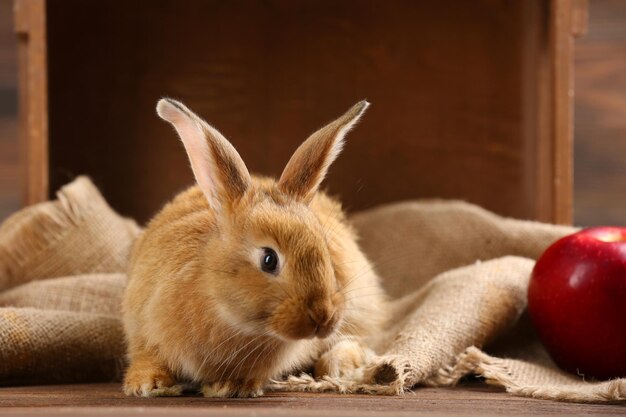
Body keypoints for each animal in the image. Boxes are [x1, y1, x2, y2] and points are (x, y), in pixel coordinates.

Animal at [120, 97, 386, 396]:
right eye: (269, 259)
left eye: (325, 252)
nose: (323, 316)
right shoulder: (142, 327)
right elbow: (148, 355)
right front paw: (147, 385)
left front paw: (231, 386)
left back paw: (339, 366)